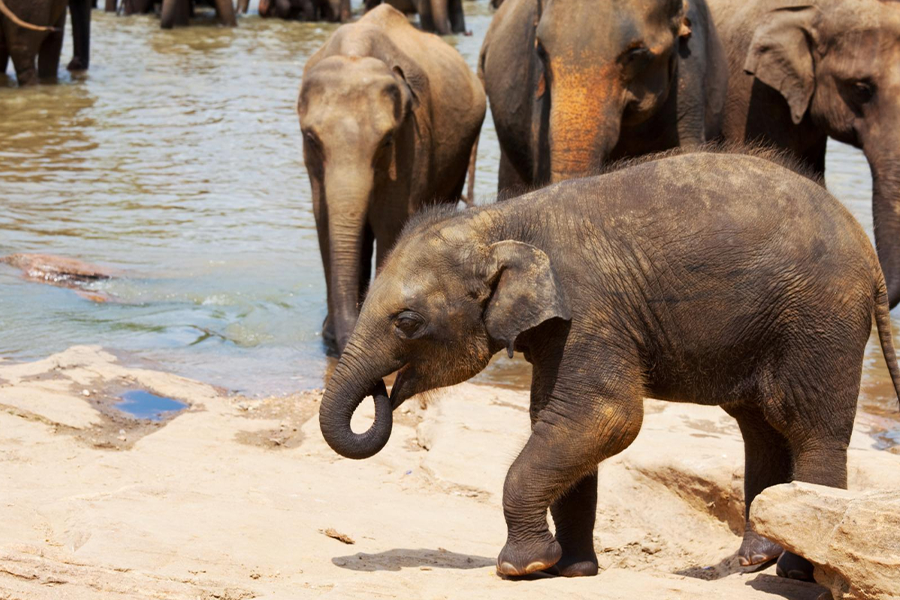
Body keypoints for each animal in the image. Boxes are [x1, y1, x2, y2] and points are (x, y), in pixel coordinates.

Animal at [298, 4, 485, 354]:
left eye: (386, 141)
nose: (341, 340)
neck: (355, 53)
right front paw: (331, 336)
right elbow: (323, 220)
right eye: (311, 138)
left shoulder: (410, 140)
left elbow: (392, 221)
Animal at [318, 149, 900, 581]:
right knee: (761, 430)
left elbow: (602, 417)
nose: (382, 392)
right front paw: (570, 571)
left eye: (407, 322)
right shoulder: (562, 327)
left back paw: (797, 575)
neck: (501, 219)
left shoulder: (591, 309)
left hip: (820, 320)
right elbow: (555, 420)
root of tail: (869, 253)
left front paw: (522, 568)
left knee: (808, 428)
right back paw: (752, 560)